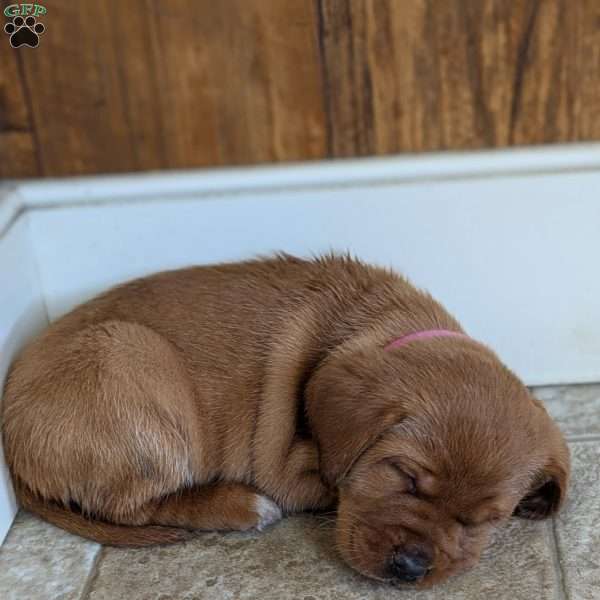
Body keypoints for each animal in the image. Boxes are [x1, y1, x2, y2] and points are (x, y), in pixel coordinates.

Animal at [2, 252, 568, 584]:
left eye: (485, 519)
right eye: (404, 477)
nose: (409, 569)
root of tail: (12, 439)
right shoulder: (288, 468)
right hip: (131, 358)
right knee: (132, 507)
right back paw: (240, 505)